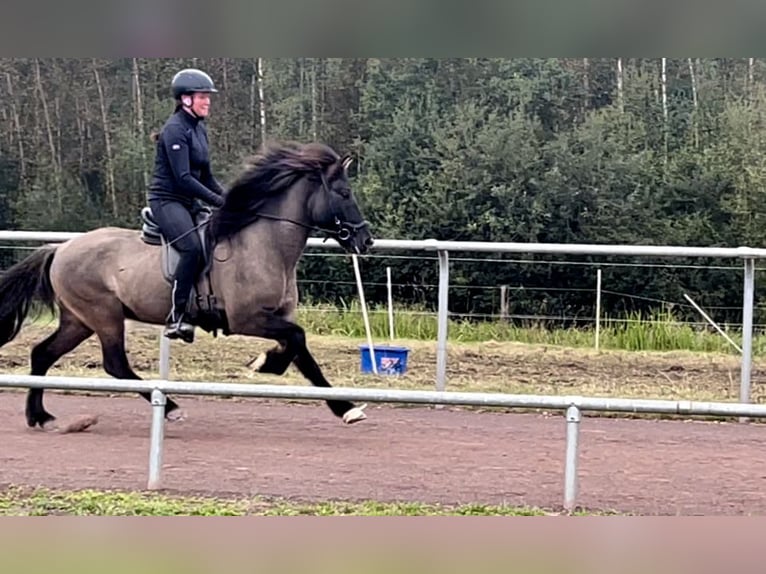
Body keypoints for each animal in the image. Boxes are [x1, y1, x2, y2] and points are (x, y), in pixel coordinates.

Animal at [0, 142, 376, 432]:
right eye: (344, 193)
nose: (366, 240)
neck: (263, 244)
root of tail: (61, 248)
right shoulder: (247, 320)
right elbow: (297, 340)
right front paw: (265, 363)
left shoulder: (278, 317)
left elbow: (303, 354)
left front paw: (346, 409)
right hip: (103, 317)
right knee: (115, 365)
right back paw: (170, 408)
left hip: (78, 320)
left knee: (43, 353)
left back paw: (41, 416)